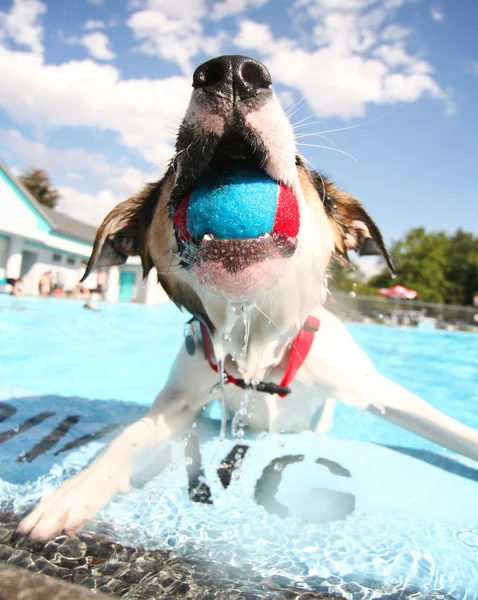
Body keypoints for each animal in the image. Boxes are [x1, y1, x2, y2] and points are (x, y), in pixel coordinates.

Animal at [17, 56, 478, 540]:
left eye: (300, 164)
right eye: (172, 167)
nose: (232, 71)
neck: (256, 332)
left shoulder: (369, 387)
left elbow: (447, 427)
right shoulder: (183, 395)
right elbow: (134, 433)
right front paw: (74, 490)